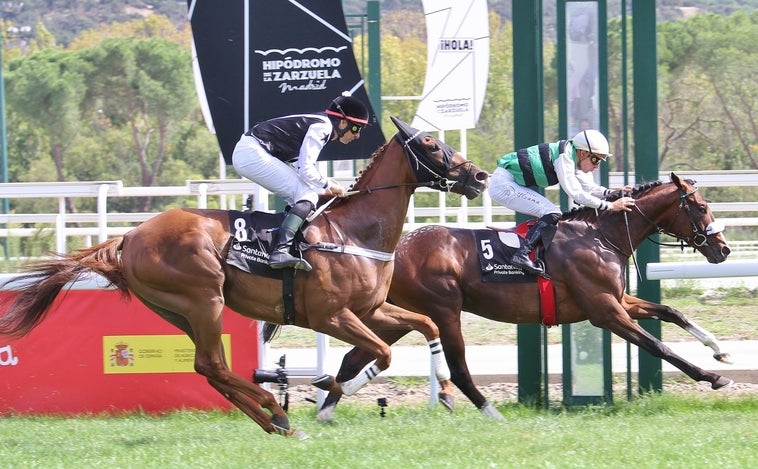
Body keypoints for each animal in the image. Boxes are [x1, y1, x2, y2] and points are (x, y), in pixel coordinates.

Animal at [0, 117, 490, 436]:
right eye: (431, 144)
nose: (480, 176)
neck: (354, 230)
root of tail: (130, 236)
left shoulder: (371, 309)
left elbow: (425, 326)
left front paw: (448, 390)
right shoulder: (330, 316)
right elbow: (383, 353)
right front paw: (329, 385)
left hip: (179, 311)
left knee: (210, 368)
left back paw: (277, 420)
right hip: (204, 300)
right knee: (212, 364)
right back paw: (276, 409)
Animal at [318, 173, 732, 420]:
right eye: (700, 207)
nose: (724, 249)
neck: (602, 236)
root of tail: (394, 251)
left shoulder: (620, 301)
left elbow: (671, 311)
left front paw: (719, 351)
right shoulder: (606, 311)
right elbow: (658, 346)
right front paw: (712, 377)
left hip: (403, 315)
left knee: (354, 356)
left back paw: (328, 407)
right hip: (443, 310)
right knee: (456, 367)